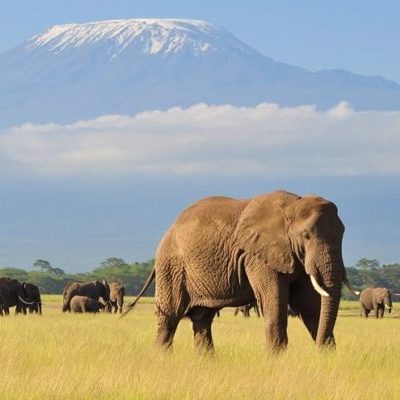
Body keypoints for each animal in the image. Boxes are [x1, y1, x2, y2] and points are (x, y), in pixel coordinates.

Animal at [122, 191, 360, 350]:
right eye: (306, 236)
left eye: (342, 234)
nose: (319, 349)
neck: (292, 205)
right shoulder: (257, 256)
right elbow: (274, 301)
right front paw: (277, 360)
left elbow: (310, 304)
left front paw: (327, 355)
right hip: (172, 266)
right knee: (169, 318)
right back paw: (163, 358)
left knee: (202, 320)